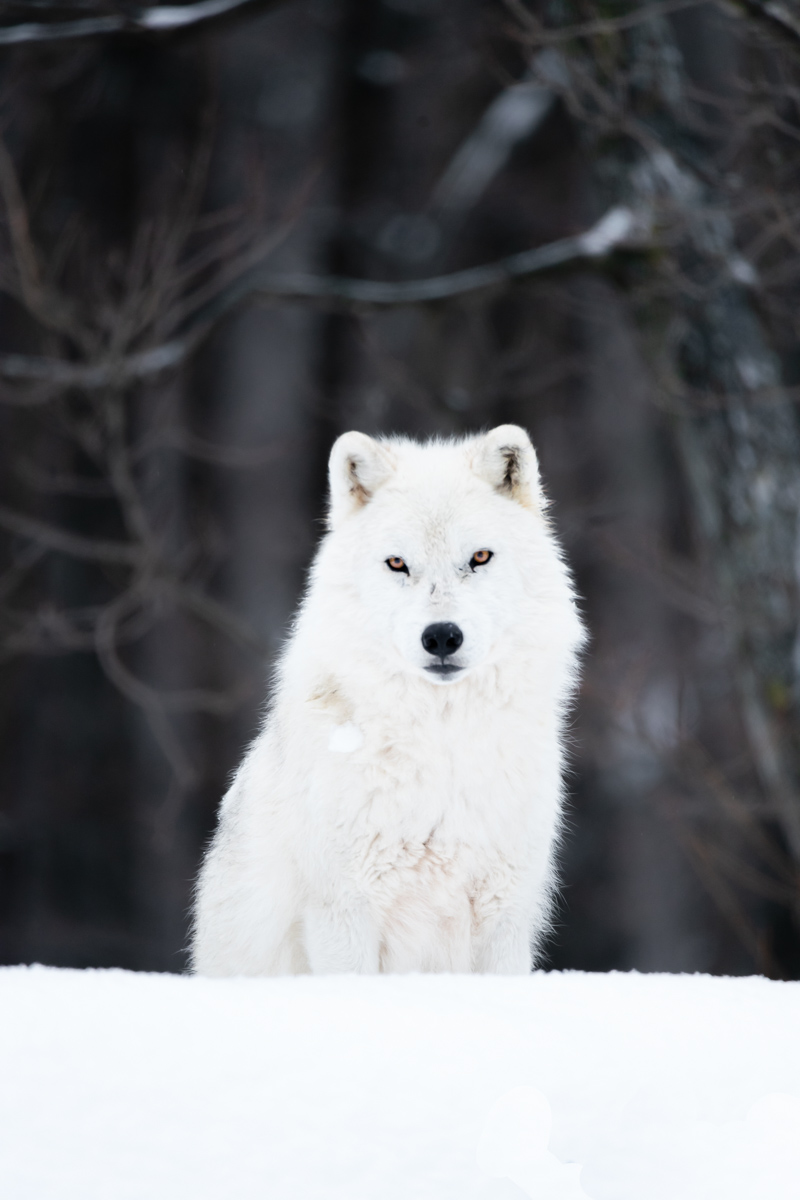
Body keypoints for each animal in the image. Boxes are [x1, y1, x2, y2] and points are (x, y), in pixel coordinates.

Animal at [191, 424, 585, 974]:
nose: (441, 636)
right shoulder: (344, 913)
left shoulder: (504, 913)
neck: (442, 749)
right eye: (398, 564)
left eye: (479, 558)